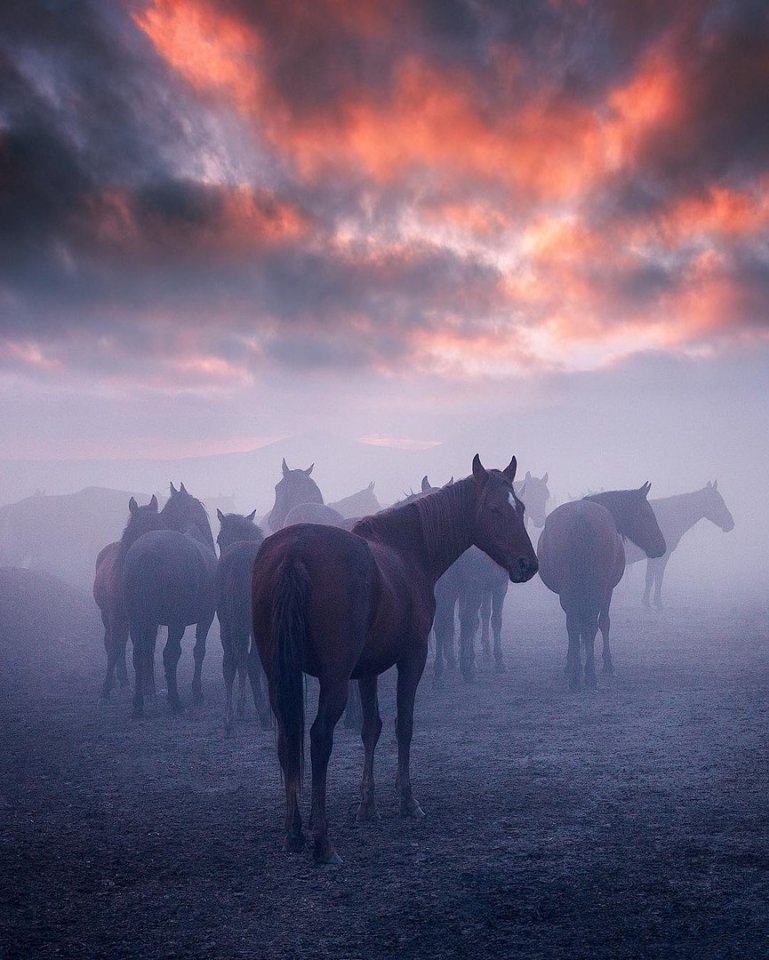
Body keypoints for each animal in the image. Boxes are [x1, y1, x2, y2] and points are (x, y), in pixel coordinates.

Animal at [92, 496, 160, 696]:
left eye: (160, 523)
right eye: (141, 526)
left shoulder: (150, 618)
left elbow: (148, 647)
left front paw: (149, 688)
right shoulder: (116, 615)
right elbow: (114, 646)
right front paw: (105, 690)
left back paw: (125, 680)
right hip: (108, 615)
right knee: (112, 643)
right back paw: (118, 680)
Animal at [124, 484, 216, 716]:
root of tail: (148, 553)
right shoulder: (207, 618)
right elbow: (199, 651)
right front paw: (197, 692)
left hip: (136, 620)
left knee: (139, 654)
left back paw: (138, 704)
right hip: (176, 623)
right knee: (170, 654)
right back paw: (175, 701)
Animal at [249, 454, 536, 868]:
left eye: (522, 507)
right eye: (496, 509)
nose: (528, 564)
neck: (407, 549)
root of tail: (295, 550)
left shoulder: (367, 669)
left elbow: (372, 728)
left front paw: (367, 804)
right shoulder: (412, 658)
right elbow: (404, 725)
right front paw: (407, 799)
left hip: (277, 675)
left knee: (286, 738)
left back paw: (293, 832)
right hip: (333, 680)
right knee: (318, 739)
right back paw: (323, 841)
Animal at [536, 484, 664, 688]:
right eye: (646, 514)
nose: (661, 546)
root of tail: (580, 519)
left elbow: (577, 628)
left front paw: (571, 662)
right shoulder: (608, 590)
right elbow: (604, 623)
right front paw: (607, 664)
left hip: (570, 591)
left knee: (575, 625)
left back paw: (577, 676)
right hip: (596, 589)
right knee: (590, 625)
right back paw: (589, 674)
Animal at [620, 480, 736, 608]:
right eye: (718, 502)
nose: (731, 524)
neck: (671, 517)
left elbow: (653, 578)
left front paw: (649, 601)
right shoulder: (660, 556)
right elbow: (655, 578)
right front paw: (654, 602)